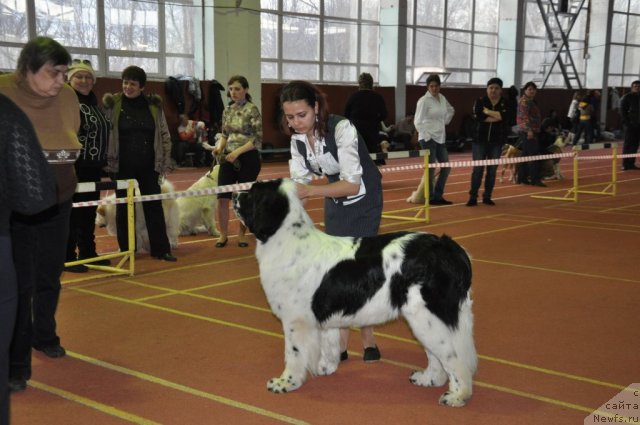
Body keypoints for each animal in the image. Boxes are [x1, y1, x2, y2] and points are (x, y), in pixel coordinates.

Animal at [232, 177, 478, 406]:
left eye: (251, 193)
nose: (233, 194)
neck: (286, 238)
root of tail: (447, 248)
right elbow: (329, 343)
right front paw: (326, 366)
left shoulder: (296, 321)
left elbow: (293, 353)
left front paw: (286, 383)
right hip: (423, 318)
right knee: (437, 353)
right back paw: (429, 378)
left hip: (427, 316)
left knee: (453, 356)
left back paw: (457, 395)